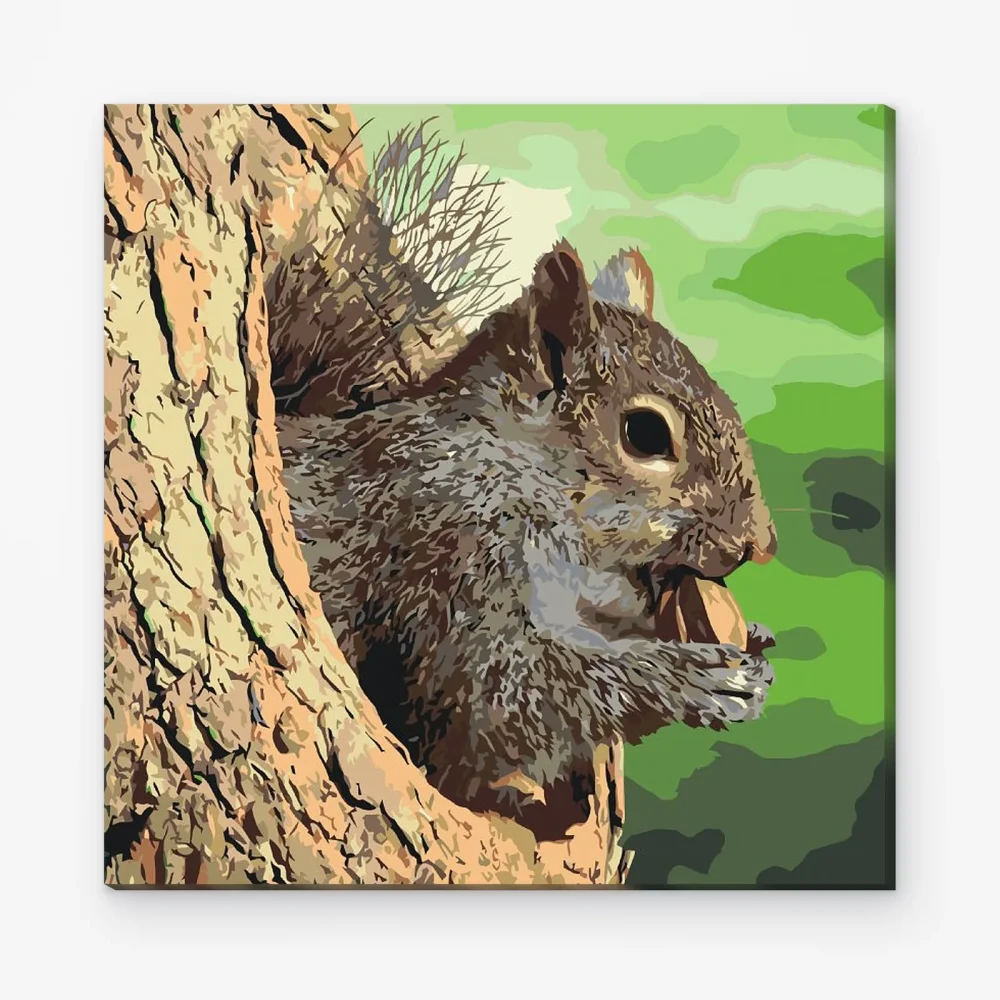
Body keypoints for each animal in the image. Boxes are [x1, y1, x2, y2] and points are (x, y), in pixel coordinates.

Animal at [273, 125, 778, 838]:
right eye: (645, 435)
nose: (760, 543)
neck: (514, 467)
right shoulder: (444, 544)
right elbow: (493, 703)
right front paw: (679, 677)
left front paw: (752, 644)